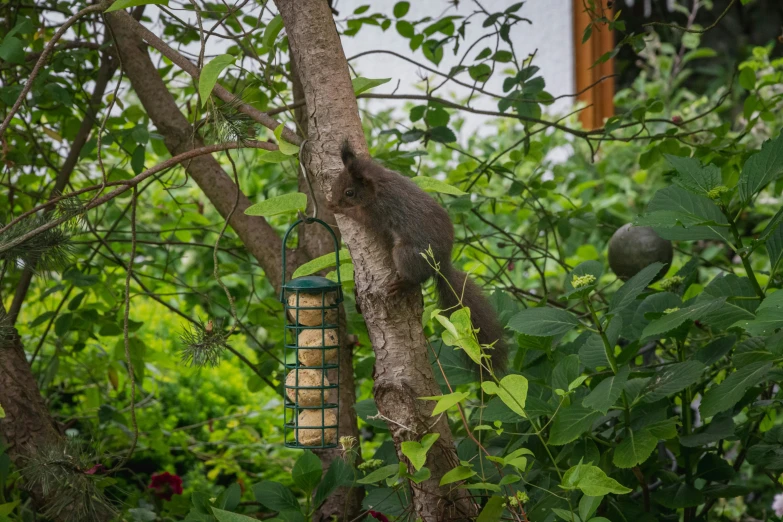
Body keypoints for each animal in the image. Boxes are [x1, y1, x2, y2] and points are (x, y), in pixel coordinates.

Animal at [326, 140, 506, 372]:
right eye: (336, 183)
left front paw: (336, 208)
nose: (336, 199)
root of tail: (442, 265)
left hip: (406, 253)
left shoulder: (377, 211)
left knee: (417, 277)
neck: (378, 183)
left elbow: (361, 217)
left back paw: (404, 284)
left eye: (349, 192)